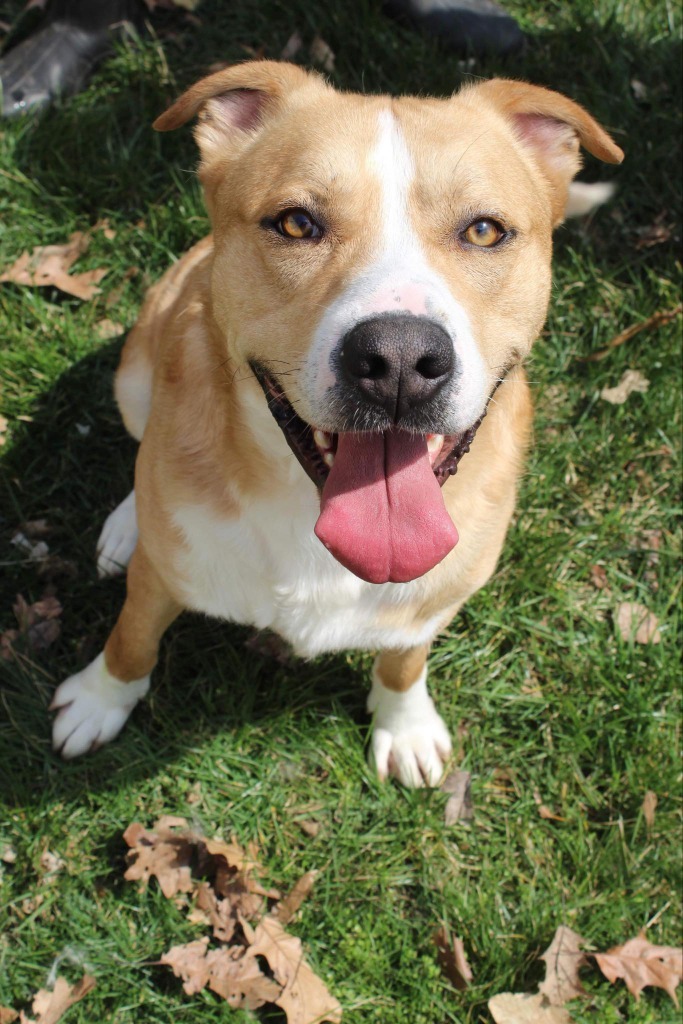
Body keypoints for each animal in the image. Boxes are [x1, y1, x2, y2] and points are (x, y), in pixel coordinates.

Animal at [49, 61, 626, 782]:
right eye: (296, 223)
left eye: (484, 231)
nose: (400, 360)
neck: (311, 508)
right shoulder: (157, 584)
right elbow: (132, 637)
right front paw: (100, 700)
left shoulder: (431, 602)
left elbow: (404, 660)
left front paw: (404, 726)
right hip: (135, 367)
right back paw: (129, 524)